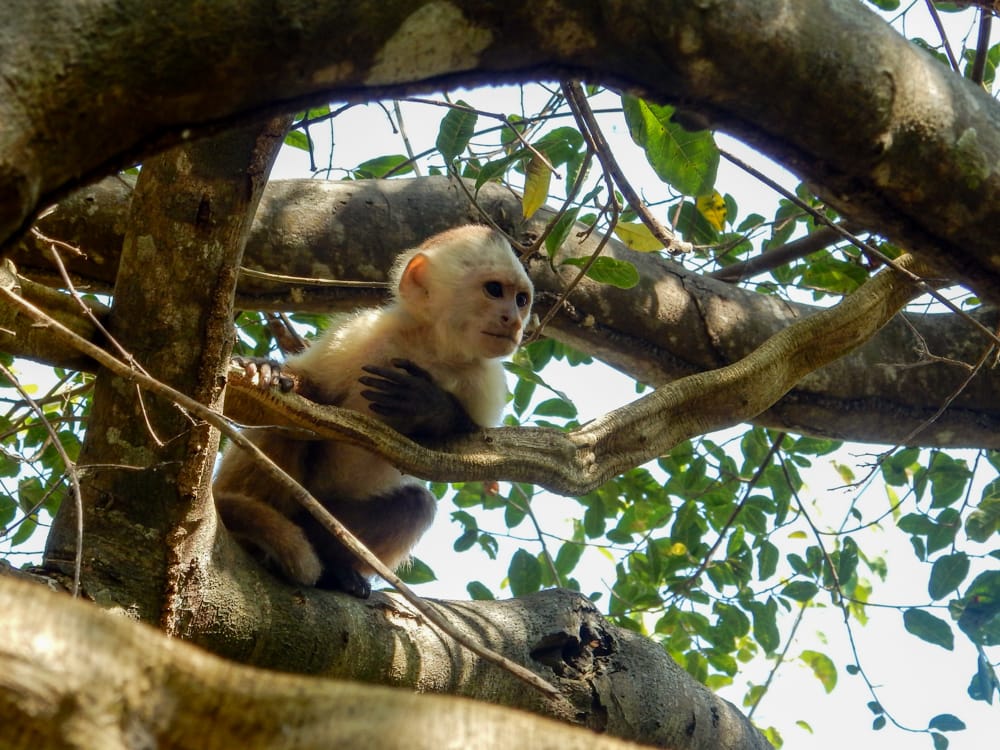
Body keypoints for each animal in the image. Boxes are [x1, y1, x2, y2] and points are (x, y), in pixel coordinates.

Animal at [213, 225, 533, 597]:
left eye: (521, 299)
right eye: (494, 290)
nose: (513, 320)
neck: (433, 347)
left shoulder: (485, 382)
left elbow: (473, 457)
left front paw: (427, 407)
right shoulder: (360, 334)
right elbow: (308, 388)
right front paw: (267, 369)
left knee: (415, 505)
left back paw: (337, 572)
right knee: (287, 423)